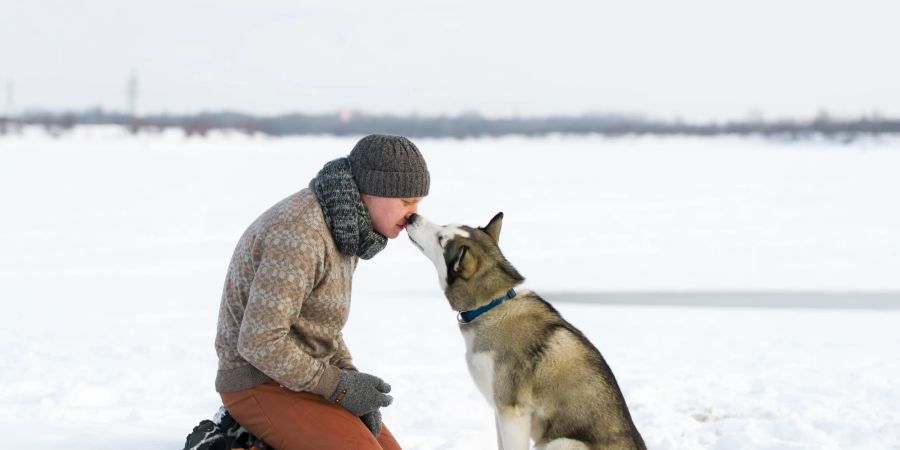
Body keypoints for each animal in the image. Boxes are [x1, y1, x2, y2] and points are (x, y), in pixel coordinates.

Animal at [408, 212, 648, 450]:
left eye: (441, 239)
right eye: (445, 226)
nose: (412, 217)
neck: (491, 306)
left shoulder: (512, 412)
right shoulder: (499, 410)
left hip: (559, 442)